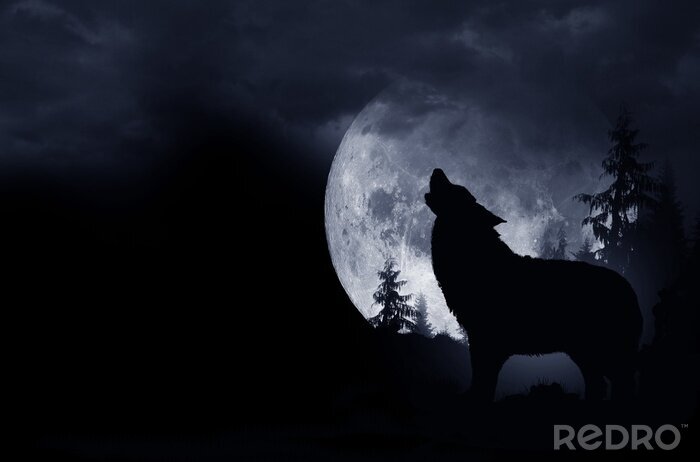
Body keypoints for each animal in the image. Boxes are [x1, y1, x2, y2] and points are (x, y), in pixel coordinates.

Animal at [424, 168, 642, 401]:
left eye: (456, 189)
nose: (437, 170)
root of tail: (629, 287)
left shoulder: (485, 341)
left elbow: (482, 384)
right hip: (583, 353)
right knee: (599, 385)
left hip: (603, 353)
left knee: (622, 384)